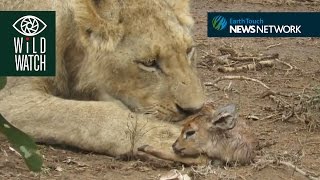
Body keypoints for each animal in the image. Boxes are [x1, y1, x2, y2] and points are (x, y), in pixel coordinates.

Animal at [0, 0, 205, 158]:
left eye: (188, 50)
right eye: (149, 62)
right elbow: (98, 114)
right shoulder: (13, 97)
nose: (193, 110)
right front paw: (169, 137)